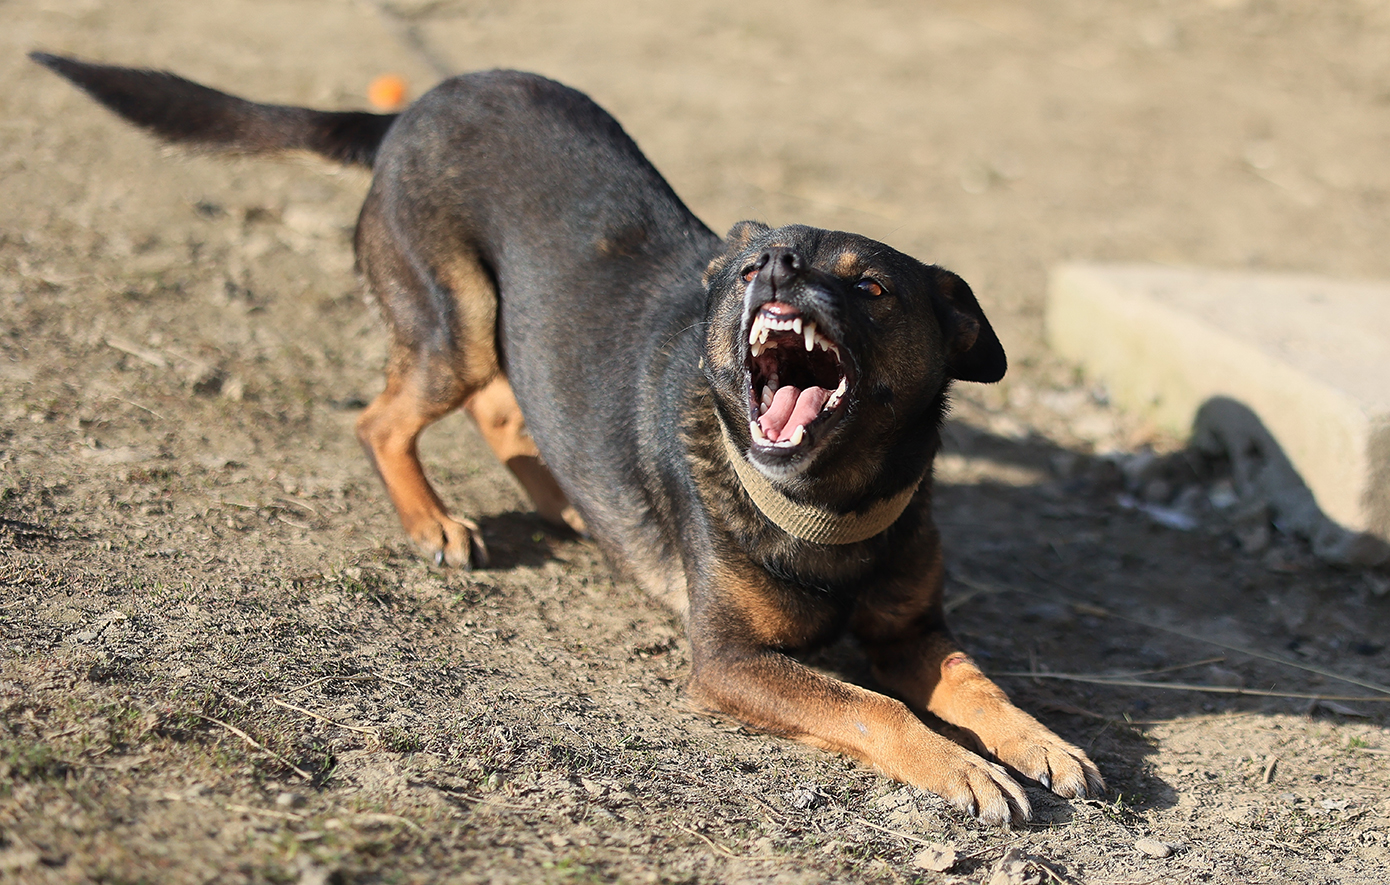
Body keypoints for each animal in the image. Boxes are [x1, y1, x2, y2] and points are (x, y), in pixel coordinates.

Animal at [32, 53, 1106, 822]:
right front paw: (964, 769)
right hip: (458, 322)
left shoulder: (915, 631)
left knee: (511, 410)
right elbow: (870, 704)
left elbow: (977, 684)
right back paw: (434, 521)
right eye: (755, 264)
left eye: (872, 285)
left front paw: (1042, 740)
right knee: (385, 416)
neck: (824, 504)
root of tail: (411, 109)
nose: (775, 268)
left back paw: (569, 503)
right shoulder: (729, 663)